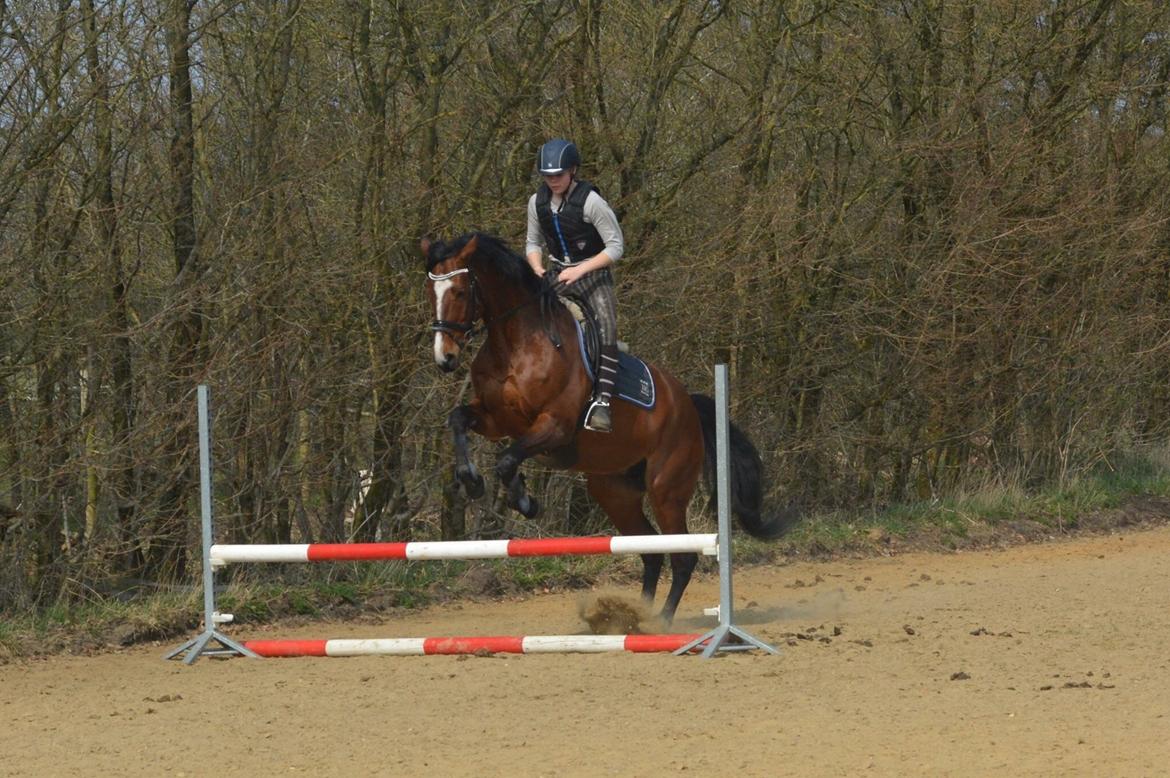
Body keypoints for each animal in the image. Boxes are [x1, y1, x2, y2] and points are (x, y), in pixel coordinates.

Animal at [424, 232, 795, 623]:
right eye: (430, 291)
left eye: (459, 291)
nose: (445, 358)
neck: (515, 341)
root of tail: (689, 407)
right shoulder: (498, 419)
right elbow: (459, 420)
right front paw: (471, 480)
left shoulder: (555, 426)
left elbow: (508, 460)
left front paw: (525, 501)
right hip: (614, 491)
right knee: (650, 551)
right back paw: (634, 619)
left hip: (666, 490)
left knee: (682, 556)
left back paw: (660, 623)